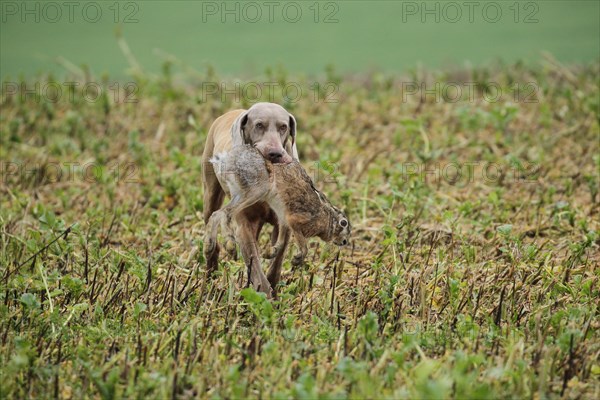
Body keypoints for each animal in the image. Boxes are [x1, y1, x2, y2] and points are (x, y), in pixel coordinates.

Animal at [202, 103, 298, 296]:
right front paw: (265, 294)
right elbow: (255, 264)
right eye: (259, 125)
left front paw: (273, 287)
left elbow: (278, 256)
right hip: (210, 195)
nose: (275, 153)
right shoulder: (244, 226)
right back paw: (210, 274)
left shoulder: (283, 225)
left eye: (283, 127)